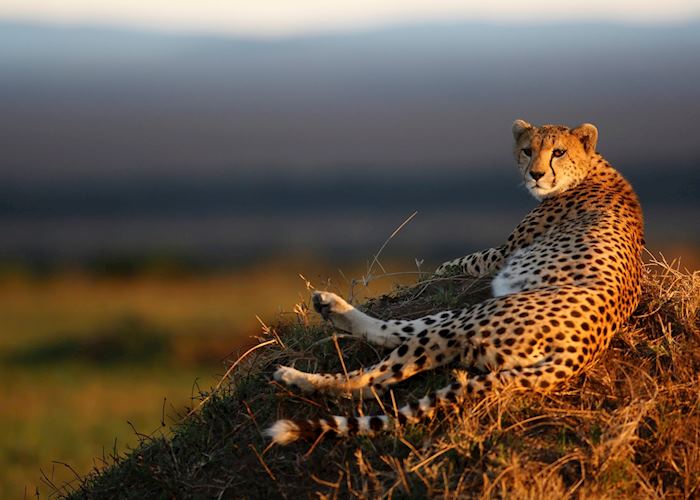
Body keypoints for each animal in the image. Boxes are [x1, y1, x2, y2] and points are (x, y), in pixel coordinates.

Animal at [266, 119, 644, 445]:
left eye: (559, 152)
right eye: (527, 150)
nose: (535, 174)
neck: (590, 169)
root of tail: (580, 353)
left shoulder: (501, 255)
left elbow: (463, 260)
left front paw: (438, 270)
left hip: (473, 319)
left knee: (373, 380)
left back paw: (295, 377)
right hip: (468, 321)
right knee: (396, 332)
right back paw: (329, 307)